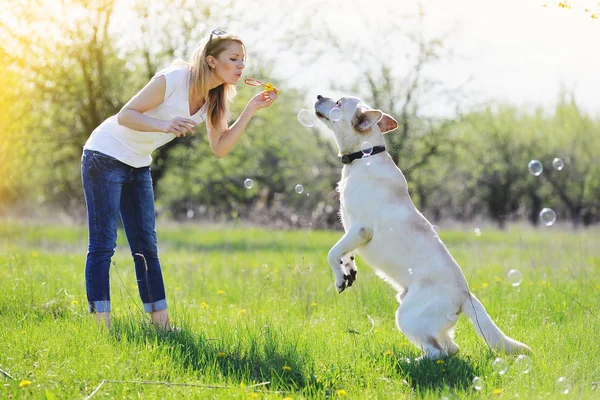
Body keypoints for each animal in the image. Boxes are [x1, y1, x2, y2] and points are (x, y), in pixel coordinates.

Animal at [314, 94, 528, 360]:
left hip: (407, 316)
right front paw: (348, 271)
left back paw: (410, 361)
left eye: (339, 102)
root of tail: (466, 295)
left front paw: (339, 279)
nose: (318, 96)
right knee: (450, 348)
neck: (364, 156)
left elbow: (332, 252)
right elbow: (345, 253)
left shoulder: (360, 229)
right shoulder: (350, 231)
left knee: (438, 352)